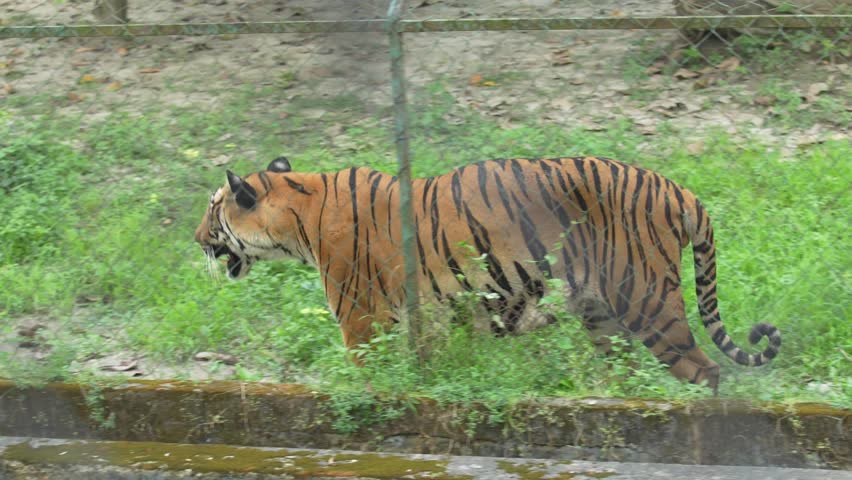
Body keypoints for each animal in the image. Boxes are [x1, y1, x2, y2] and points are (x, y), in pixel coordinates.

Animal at [194, 156, 781, 392]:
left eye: (212, 207)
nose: (196, 239)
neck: (298, 213)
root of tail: (678, 190)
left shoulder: (360, 319)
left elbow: (369, 377)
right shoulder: (421, 317)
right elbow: (423, 370)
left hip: (647, 300)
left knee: (706, 371)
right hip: (601, 315)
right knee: (625, 370)